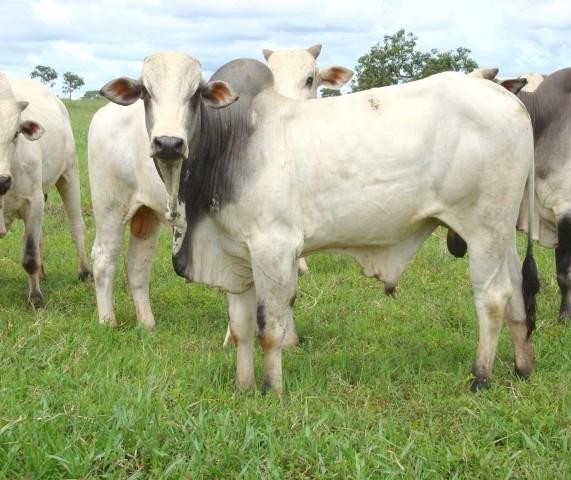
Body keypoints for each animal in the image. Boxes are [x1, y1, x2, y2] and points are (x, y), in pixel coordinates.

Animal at [0, 75, 90, 308]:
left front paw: (36, 297)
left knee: (76, 226)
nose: (2, 180)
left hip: (69, 175)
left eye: (16, 133)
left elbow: (30, 256)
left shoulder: (34, 201)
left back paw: (85, 271)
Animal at [88, 48, 354, 334]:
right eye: (146, 91)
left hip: (146, 213)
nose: (168, 143)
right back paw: (107, 321)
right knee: (103, 258)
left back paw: (147, 323)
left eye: (310, 78)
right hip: (110, 205)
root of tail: (104, 114)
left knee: (137, 264)